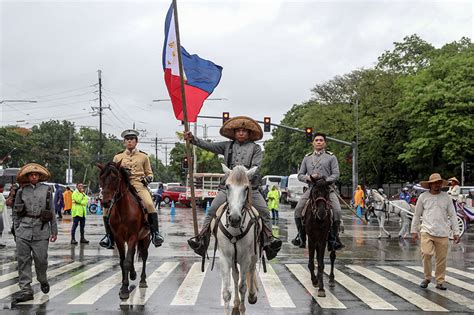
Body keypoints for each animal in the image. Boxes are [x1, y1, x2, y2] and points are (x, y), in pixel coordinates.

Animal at [98, 162, 152, 300]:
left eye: (116, 179)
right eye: (101, 179)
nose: (105, 202)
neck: (123, 210)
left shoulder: (133, 236)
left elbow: (127, 261)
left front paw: (125, 289)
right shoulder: (119, 238)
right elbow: (123, 261)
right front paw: (123, 286)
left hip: (145, 237)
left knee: (144, 256)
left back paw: (142, 280)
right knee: (132, 255)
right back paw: (133, 274)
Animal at [213, 165, 262, 315]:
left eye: (246, 188)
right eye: (227, 186)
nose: (234, 219)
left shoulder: (246, 258)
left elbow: (242, 287)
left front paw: (243, 306)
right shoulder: (224, 258)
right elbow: (226, 292)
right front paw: (233, 305)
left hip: (254, 255)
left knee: (251, 271)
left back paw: (251, 296)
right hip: (234, 260)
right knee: (235, 276)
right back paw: (235, 306)